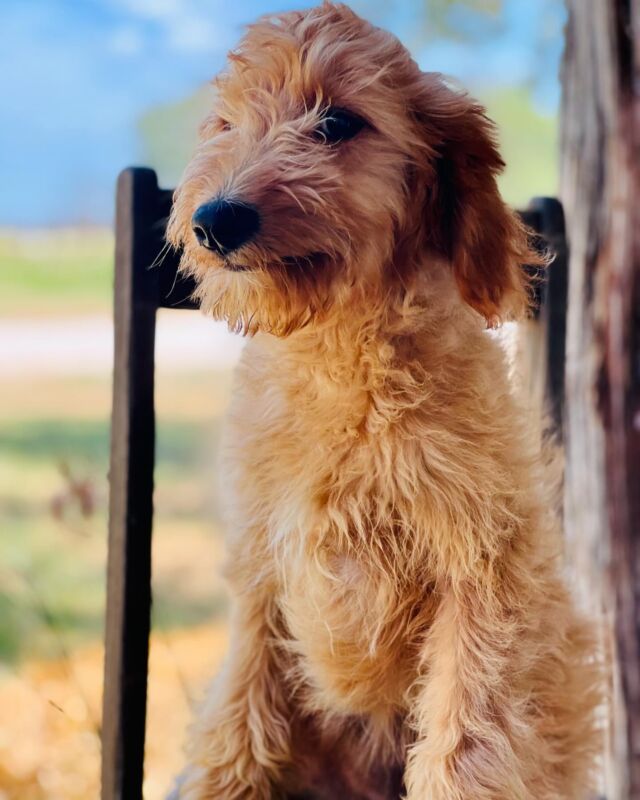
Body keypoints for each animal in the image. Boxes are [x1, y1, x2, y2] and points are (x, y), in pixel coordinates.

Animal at [168, 1, 604, 800]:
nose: (215, 219)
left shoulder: (482, 572)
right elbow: (236, 729)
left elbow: (465, 746)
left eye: (337, 123)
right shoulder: (261, 576)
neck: (344, 362)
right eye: (227, 123)